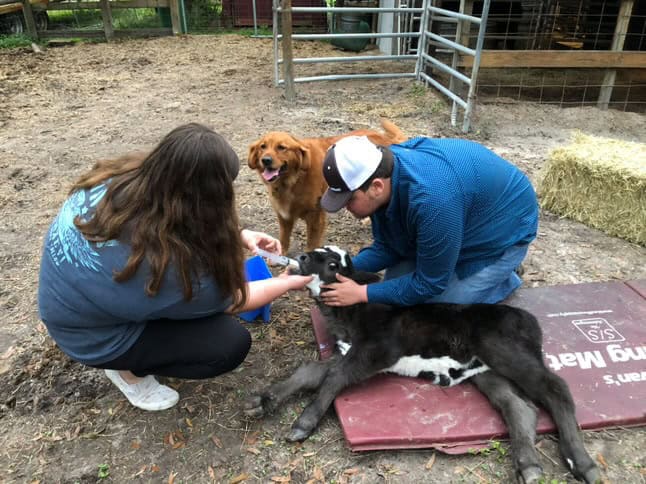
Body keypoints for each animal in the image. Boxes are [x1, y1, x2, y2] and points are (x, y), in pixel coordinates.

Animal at [244, 248, 604, 482]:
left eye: (333, 263)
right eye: (312, 252)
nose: (301, 258)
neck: (348, 317)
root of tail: (526, 317)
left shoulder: (377, 351)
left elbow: (334, 377)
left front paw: (305, 421)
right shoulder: (350, 351)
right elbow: (310, 371)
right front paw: (264, 400)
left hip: (508, 351)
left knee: (555, 388)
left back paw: (582, 462)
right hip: (486, 370)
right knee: (519, 406)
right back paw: (528, 465)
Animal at [249, 120, 408, 253]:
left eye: (281, 148)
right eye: (263, 147)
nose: (266, 160)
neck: (293, 180)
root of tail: (386, 138)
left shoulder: (315, 216)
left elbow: (312, 243)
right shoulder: (284, 216)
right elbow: (284, 239)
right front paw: (279, 255)